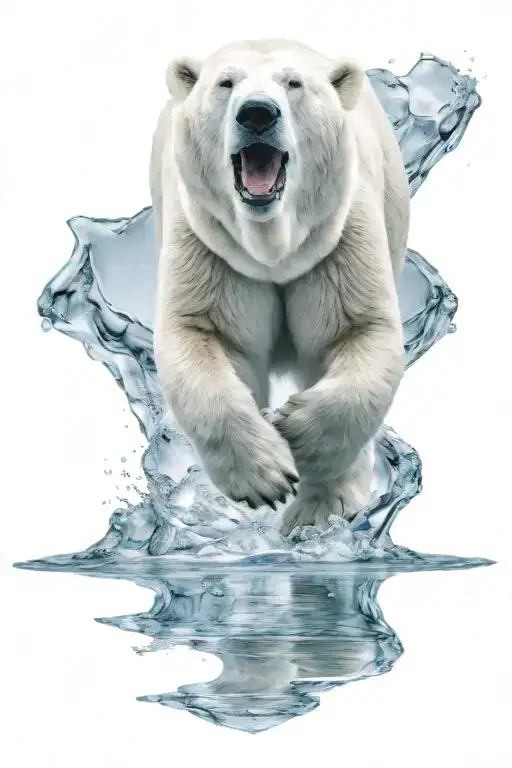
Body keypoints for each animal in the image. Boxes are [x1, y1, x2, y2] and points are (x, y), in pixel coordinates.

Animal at [151, 38, 410, 536]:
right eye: (225, 82)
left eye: (294, 83)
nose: (256, 113)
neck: (274, 249)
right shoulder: (212, 245)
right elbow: (202, 334)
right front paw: (264, 475)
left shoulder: (338, 238)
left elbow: (357, 331)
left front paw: (299, 438)